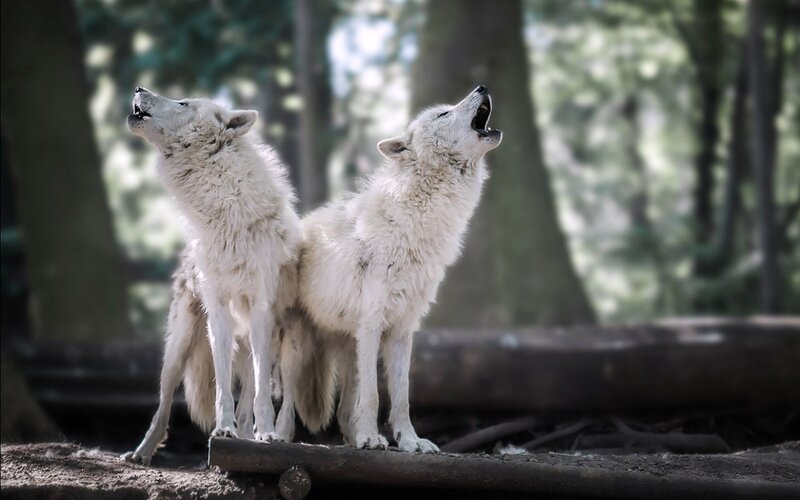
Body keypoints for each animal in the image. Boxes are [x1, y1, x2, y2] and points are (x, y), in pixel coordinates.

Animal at [121, 87, 301, 465]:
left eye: (183, 103)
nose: (139, 89)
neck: (226, 217)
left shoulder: (260, 311)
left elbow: (261, 396)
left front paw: (266, 435)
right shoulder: (218, 310)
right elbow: (221, 386)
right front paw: (223, 430)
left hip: (262, 340)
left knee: (252, 393)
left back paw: (252, 434)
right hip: (178, 348)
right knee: (162, 409)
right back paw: (140, 453)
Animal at [275, 86, 502, 452]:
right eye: (443, 114)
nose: (482, 87)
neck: (415, 226)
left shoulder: (402, 329)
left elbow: (401, 397)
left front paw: (409, 442)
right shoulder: (372, 324)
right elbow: (372, 396)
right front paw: (372, 438)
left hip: (349, 347)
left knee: (343, 410)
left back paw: (354, 437)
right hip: (298, 346)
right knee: (290, 397)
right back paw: (278, 435)